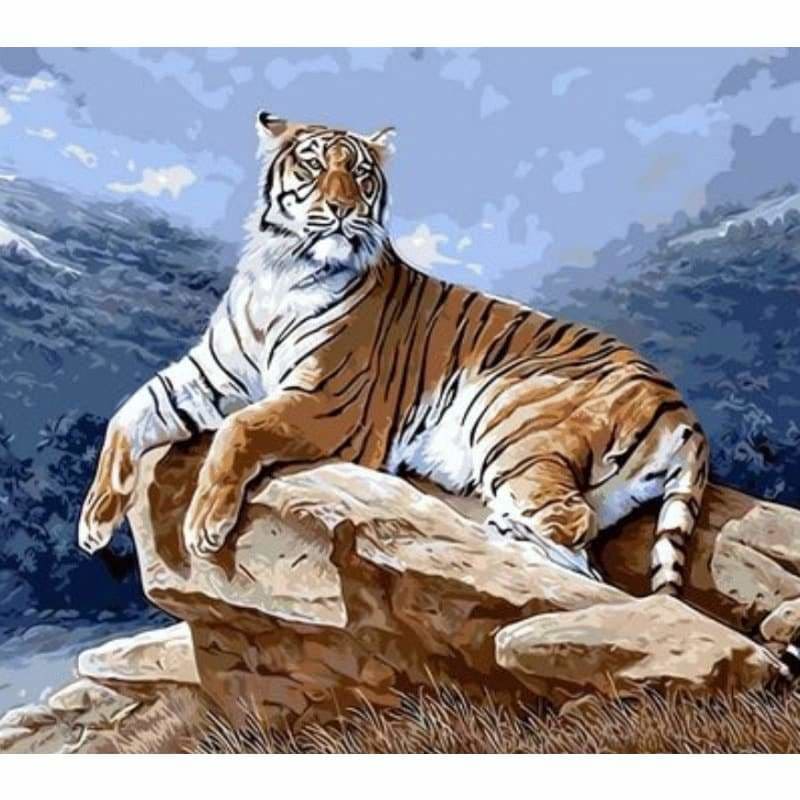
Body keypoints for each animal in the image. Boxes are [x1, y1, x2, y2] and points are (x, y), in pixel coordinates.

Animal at [78, 111, 709, 596]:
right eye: (313, 167)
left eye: (359, 174)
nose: (341, 210)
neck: (281, 270)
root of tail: (683, 411)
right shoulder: (207, 375)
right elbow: (128, 414)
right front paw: (94, 519)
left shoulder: (326, 401)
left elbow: (242, 427)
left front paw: (204, 524)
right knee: (583, 545)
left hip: (514, 423)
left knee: (574, 531)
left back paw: (506, 537)